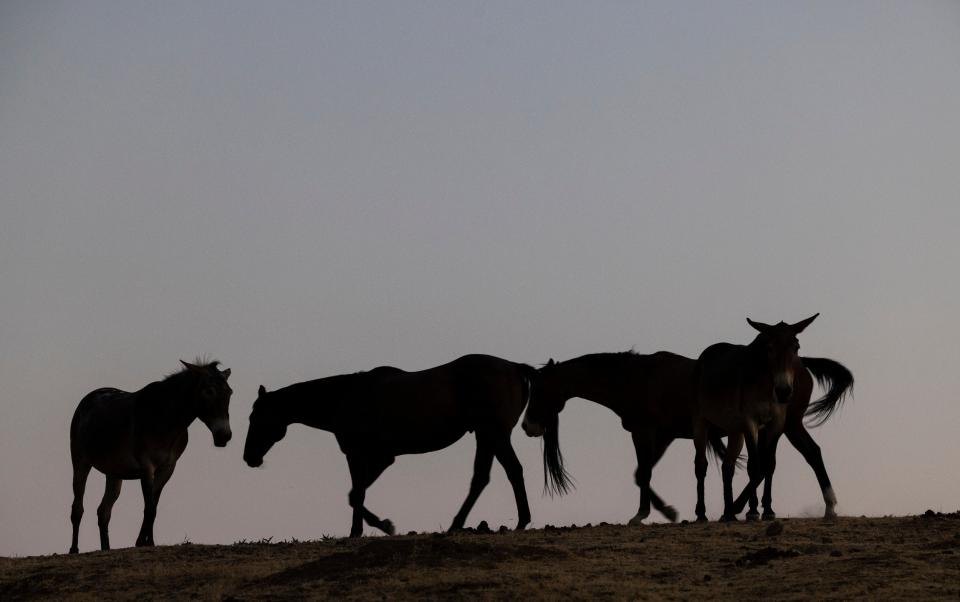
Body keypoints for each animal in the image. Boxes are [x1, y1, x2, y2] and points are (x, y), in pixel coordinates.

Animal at [68, 358, 233, 552]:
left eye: (230, 393)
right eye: (209, 391)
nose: (224, 436)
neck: (165, 420)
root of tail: (89, 397)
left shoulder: (167, 468)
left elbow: (154, 505)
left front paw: (147, 542)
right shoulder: (147, 467)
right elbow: (149, 507)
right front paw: (143, 542)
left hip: (114, 473)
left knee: (103, 511)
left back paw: (106, 548)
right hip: (80, 462)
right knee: (77, 508)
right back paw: (74, 549)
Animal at [244, 352, 536, 536]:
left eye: (257, 418)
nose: (249, 457)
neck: (345, 398)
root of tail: (514, 367)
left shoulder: (368, 455)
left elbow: (356, 494)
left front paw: (381, 526)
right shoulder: (373, 457)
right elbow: (357, 493)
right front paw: (360, 530)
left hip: (494, 434)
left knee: (506, 472)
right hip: (487, 436)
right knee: (488, 477)